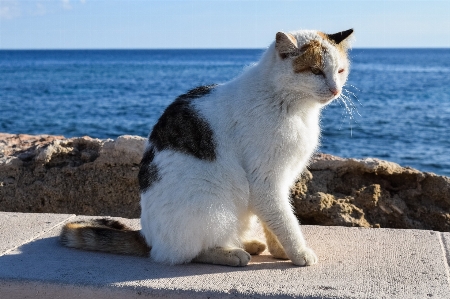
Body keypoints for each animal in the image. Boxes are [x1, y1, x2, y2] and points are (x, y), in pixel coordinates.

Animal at [60, 27, 356, 268]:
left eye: (340, 71)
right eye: (316, 71)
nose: (335, 89)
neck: (292, 107)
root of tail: (147, 236)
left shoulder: (279, 182)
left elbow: (273, 221)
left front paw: (280, 251)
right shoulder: (265, 182)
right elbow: (285, 221)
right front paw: (298, 252)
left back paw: (247, 244)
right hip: (213, 202)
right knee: (186, 253)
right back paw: (231, 253)